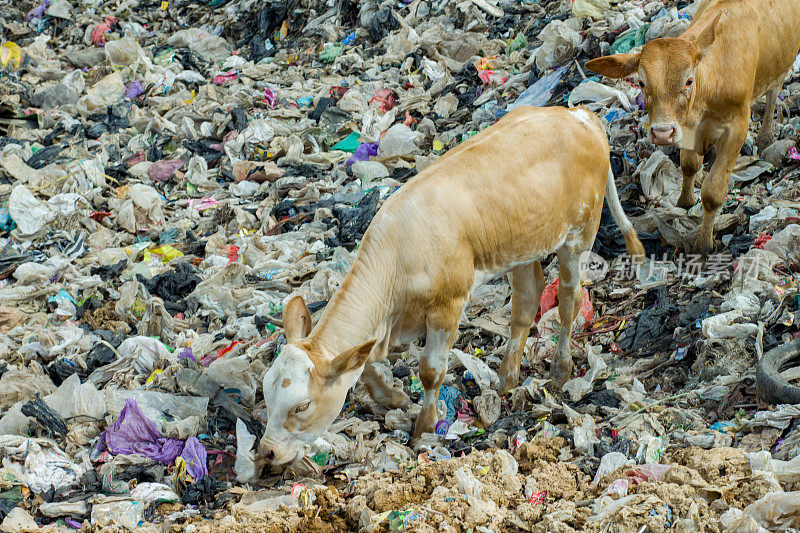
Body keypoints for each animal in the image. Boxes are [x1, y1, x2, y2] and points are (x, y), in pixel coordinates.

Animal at [256, 106, 644, 464]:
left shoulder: (448, 305)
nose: (267, 453)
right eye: (265, 394)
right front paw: (392, 397)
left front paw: (424, 428)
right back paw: (507, 377)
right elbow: (361, 363)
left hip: (578, 234)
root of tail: (580, 114)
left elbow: (430, 371)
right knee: (526, 301)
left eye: (301, 406)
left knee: (568, 300)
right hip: (521, 244)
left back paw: (561, 370)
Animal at [584, 0, 800, 256]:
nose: (662, 132)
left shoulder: (737, 127)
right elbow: (688, 166)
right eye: (642, 83)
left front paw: (704, 243)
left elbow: (713, 192)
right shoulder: (686, 127)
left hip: (781, 66)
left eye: (688, 81)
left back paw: (766, 137)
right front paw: (684, 201)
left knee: (774, 91)